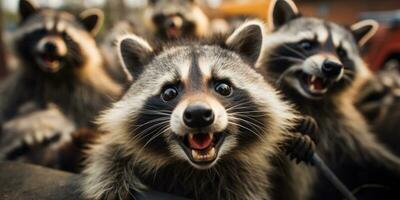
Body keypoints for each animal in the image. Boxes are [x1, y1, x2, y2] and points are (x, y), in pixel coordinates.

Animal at [258, 0, 400, 199]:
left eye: (341, 52)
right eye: (307, 45)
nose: (332, 67)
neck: (309, 100)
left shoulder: (343, 128)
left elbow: (370, 156)